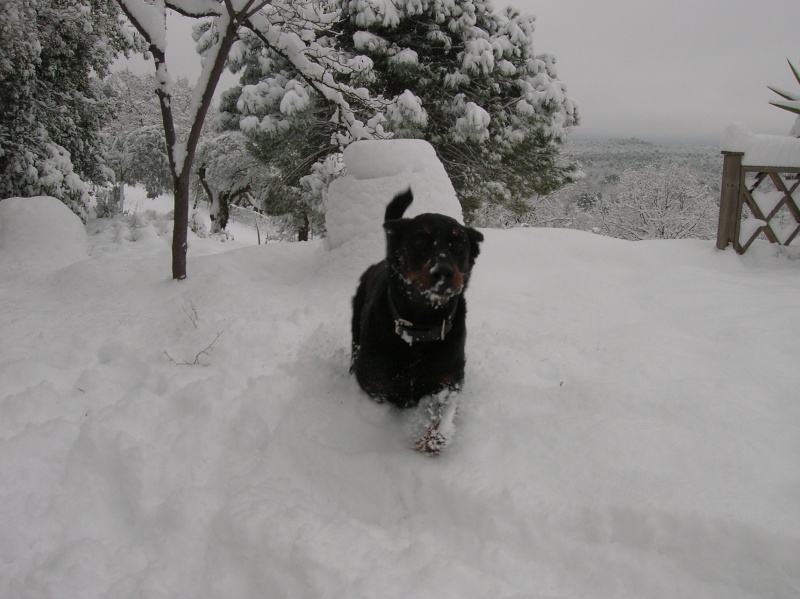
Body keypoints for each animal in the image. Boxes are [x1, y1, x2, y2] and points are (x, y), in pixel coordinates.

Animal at [348, 190, 482, 452]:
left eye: (460, 243)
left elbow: (442, 413)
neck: (420, 329)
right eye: (419, 240)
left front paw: (432, 439)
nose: (443, 272)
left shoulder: (449, 382)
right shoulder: (374, 385)